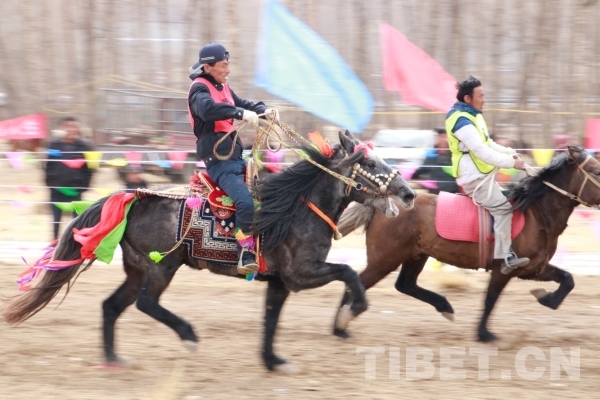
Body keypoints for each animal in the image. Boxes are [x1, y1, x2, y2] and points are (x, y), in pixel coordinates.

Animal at [332, 145, 600, 342]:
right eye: (596, 171)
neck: (535, 212)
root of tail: (385, 205)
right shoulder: (505, 269)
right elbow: (490, 299)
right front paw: (484, 333)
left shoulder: (533, 268)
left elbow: (567, 279)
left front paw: (546, 298)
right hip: (385, 259)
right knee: (356, 282)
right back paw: (339, 327)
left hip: (415, 255)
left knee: (404, 284)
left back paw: (444, 306)